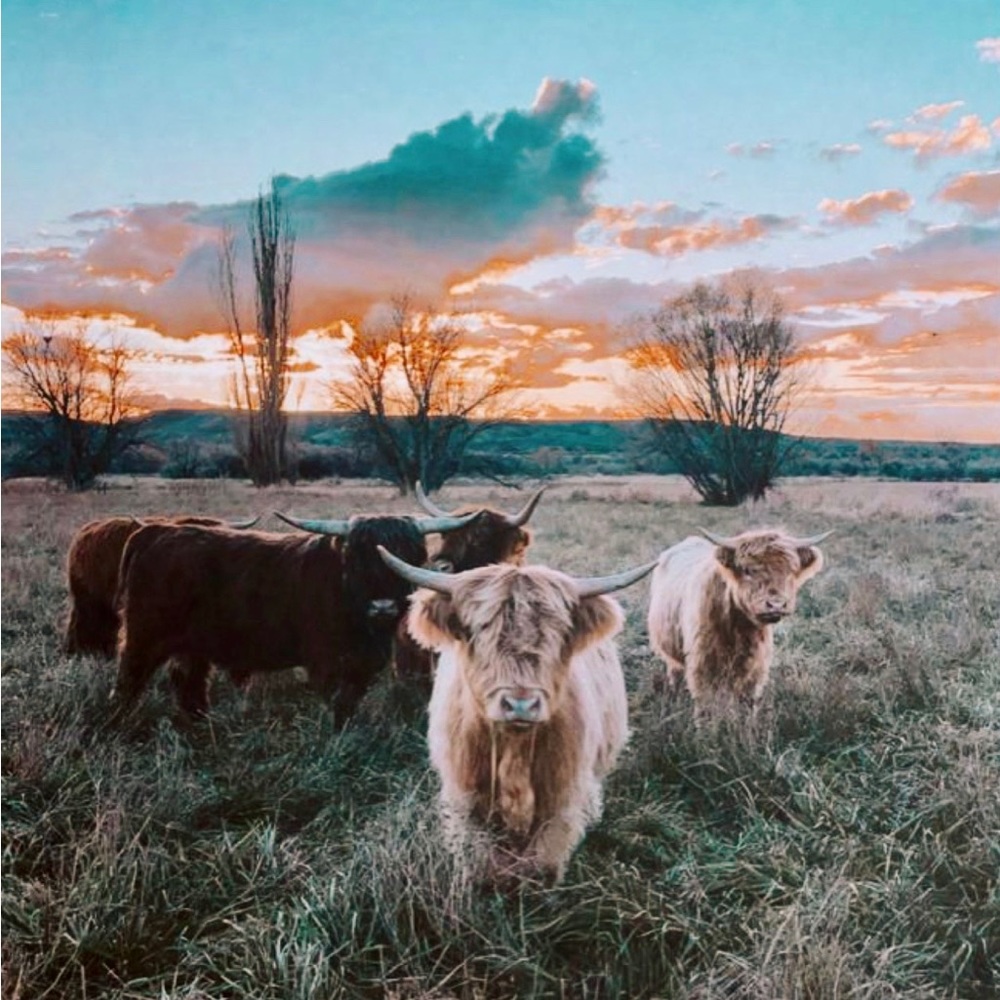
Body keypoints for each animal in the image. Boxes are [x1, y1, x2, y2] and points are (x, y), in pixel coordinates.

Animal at [111, 510, 477, 721]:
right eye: (356, 558)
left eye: (408, 554)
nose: (383, 607)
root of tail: (154, 532)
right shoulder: (326, 663)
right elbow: (337, 704)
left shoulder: (362, 665)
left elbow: (350, 702)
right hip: (143, 638)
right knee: (129, 680)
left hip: (194, 646)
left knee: (189, 683)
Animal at [379, 545, 657, 885]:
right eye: (477, 631)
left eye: (559, 634)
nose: (520, 705)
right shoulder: (464, 798)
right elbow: (480, 861)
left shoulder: (562, 801)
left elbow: (544, 862)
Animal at [647, 527, 832, 719]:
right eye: (748, 570)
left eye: (791, 570)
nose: (776, 604)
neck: (738, 629)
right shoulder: (702, 665)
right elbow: (706, 705)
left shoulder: (755, 669)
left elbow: (747, 703)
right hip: (672, 655)